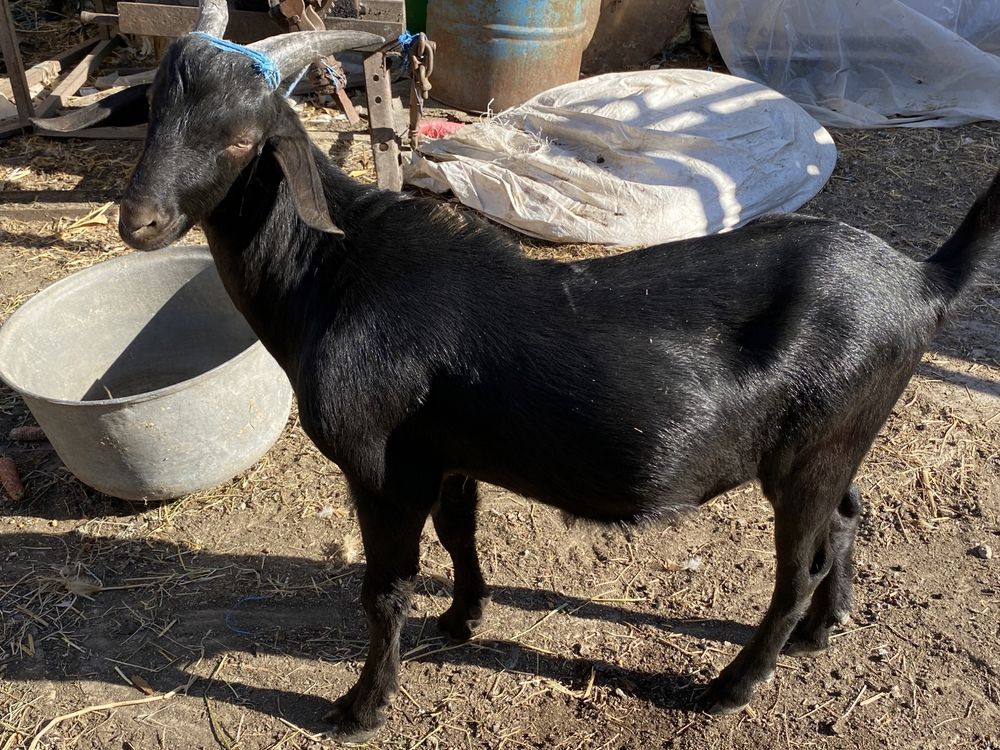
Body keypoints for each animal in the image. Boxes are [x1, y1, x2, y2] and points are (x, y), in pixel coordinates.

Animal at [115, 2, 1000, 744]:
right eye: (155, 114)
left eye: (239, 139)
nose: (139, 222)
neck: (334, 268)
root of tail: (921, 281)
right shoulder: (447, 454)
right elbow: (460, 532)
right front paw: (464, 619)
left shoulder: (381, 464)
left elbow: (386, 588)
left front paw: (361, 707)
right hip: (834, 439)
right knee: (848, 513)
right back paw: (826, 627)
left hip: (815, 445)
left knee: (799, 564)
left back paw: (732, 686)